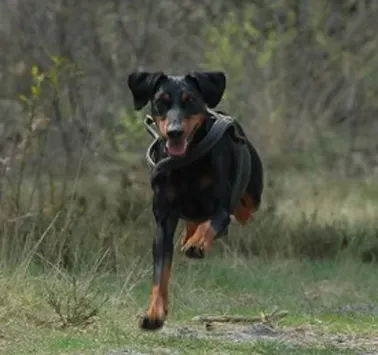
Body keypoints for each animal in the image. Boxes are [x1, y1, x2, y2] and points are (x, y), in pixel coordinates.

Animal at [127, 71, 262, 332]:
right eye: (161, 101)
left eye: (190, 101)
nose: (175, 132)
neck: (187, 162)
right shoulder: (163, 220)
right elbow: (161, 271)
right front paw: (154, 314)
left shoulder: (222, 207)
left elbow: (214, 221)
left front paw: (197, 244)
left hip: (250, 201)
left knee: (237, 214)